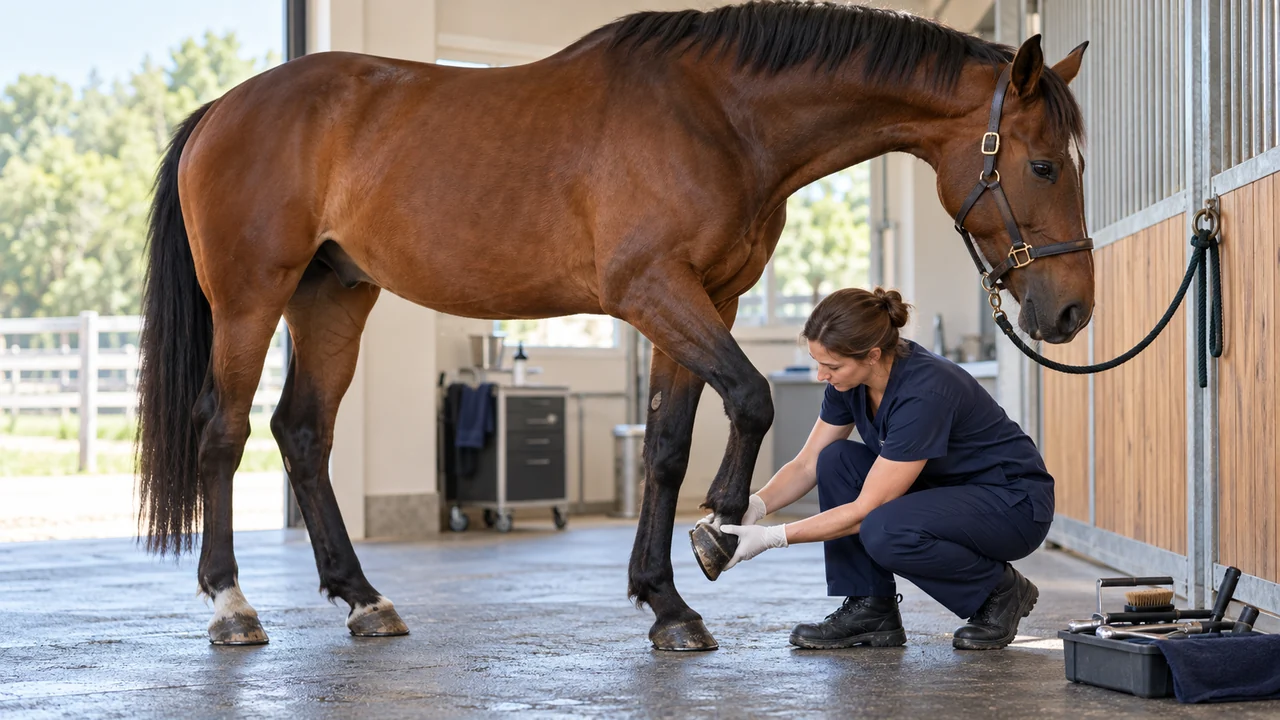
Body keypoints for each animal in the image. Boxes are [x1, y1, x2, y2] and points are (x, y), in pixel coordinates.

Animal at [136, 1, 1092, 651]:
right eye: (1044, 164)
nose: (1072, 309)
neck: (719, 115)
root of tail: (221, 111)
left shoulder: (707, 301)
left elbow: (667, 445)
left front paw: (667, 602)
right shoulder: (654, 291)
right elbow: (749, 397)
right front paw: (720, 529)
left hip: (335, 297)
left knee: (302, 433)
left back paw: (363, 598)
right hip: (251, 300)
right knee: (223, 432)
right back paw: (232, 604)